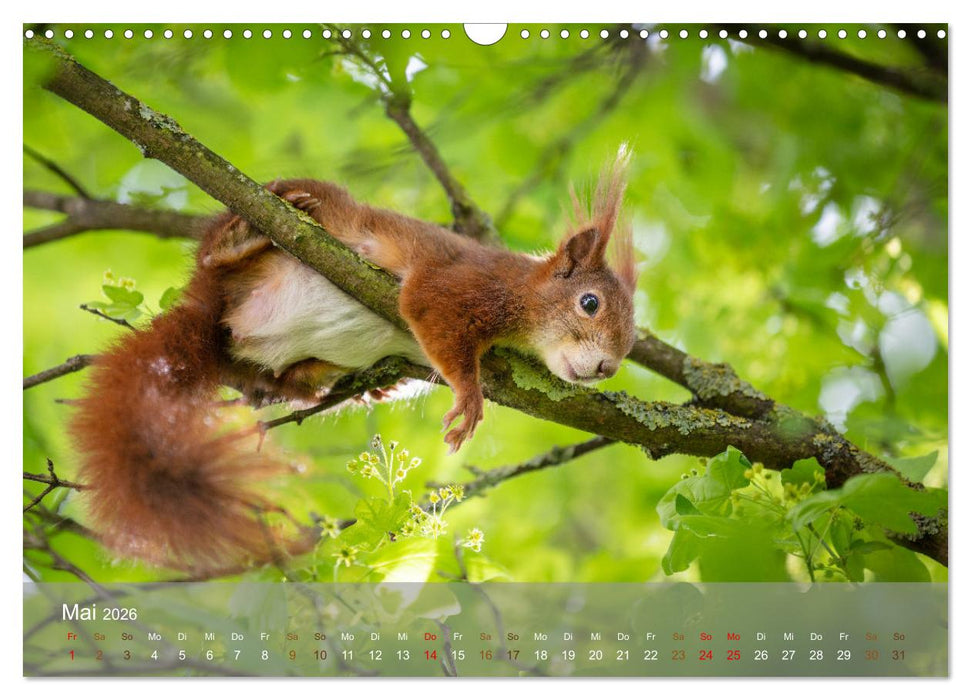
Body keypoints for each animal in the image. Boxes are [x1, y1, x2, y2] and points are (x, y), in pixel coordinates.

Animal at [68, 158, 637, 572]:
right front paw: (470, 394)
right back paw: (238, 240)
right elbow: (428, 309)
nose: (607, 368)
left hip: (275, 365)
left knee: (285, 382)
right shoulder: (463, 282)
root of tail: (213, 311)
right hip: (290, 214)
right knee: (217, 253)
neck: (523, 292)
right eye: (589, 303)